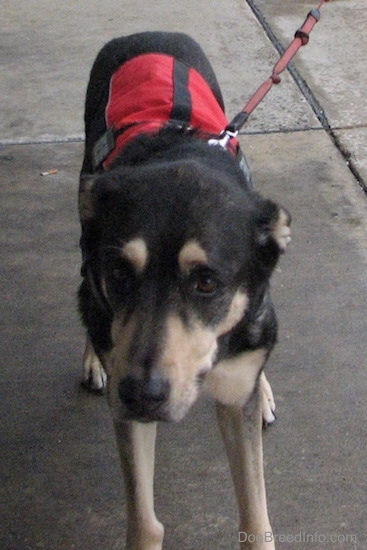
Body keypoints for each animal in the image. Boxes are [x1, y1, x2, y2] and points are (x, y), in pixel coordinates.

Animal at [79, 32, 292, 548]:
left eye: (207, 281)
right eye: (120, 273)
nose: (142, 394)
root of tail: (147, 33)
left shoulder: (236, 390)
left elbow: (256, 518)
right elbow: (144, 521)